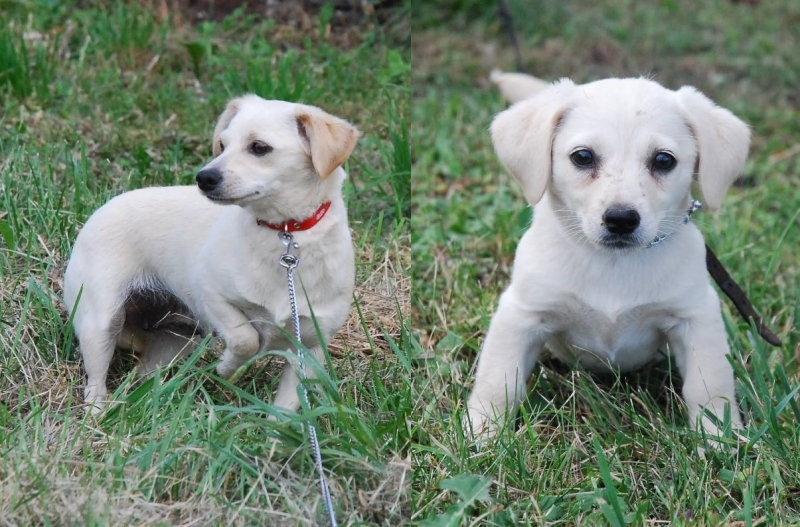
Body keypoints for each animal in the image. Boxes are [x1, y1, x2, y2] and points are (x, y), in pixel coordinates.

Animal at [64, 97, 358, 414]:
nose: (203, 177)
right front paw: (228, 369)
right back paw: (97, 413)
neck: (285, 236)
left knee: (146, 372)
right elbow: (246, 340)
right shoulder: (213, 296)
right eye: (222, 144)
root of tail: (97, 213)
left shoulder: (310, 348)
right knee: (95, 380)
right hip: (100, 322)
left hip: (174, 344)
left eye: (259, 147)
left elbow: (285, 409)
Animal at [466, 71, 752, 442]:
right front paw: (482, 431)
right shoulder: (521, 314)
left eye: (664, 160)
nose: (621, 219)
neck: (612, 264)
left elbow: (709, 387)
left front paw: (720, 438)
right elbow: (499, 379)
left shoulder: (696, 317)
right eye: (583, 157)